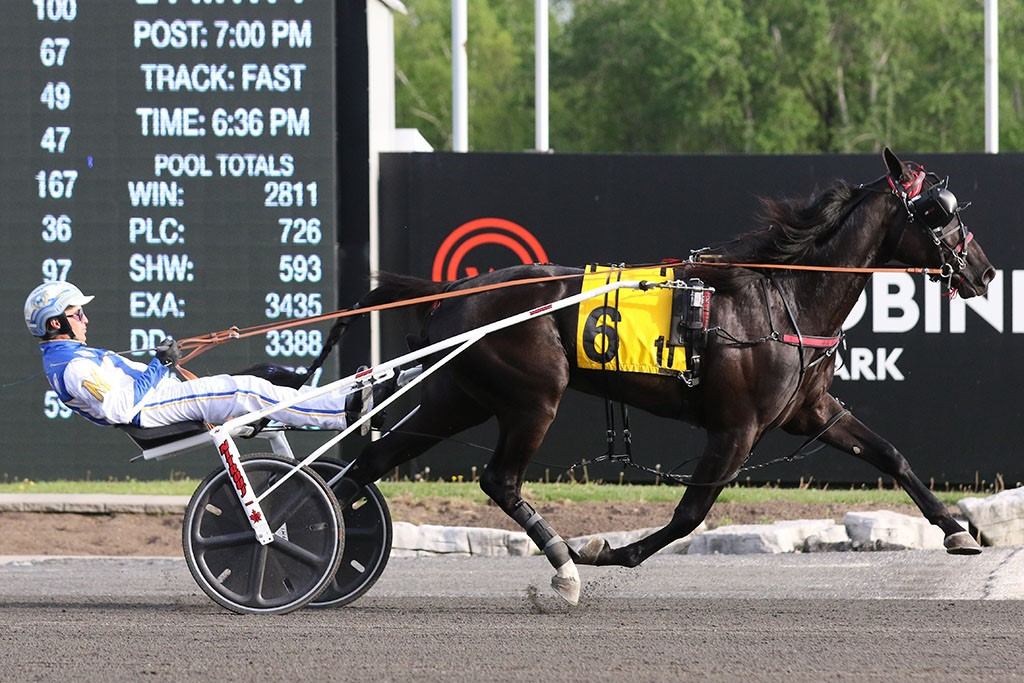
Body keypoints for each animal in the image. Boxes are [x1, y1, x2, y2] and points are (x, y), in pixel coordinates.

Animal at [344, 150, 991, 602]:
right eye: (939, 212)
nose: (983, 271)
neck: (783, 298)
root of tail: (452, 291)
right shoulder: (736, 427)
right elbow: (689, 514)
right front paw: (605, 552)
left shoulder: (813, 411)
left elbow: (889, 455)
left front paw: (958, 531)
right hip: (533, 398)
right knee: (500, 481)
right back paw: (566, 566)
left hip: (458, 396)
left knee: (372, 461)